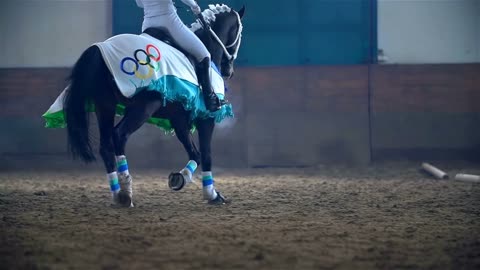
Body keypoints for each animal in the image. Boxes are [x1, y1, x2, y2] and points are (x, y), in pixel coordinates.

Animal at [62, 4, 246, 207]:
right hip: (144, 107)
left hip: (105, 106)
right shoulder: (206, 118)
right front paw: (211, 195)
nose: (229, 71)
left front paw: (180, 178)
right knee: (119, 135)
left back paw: (117, 195)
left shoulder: (178, 119)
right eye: (240, 32)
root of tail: (98, 49)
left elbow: (195, 153)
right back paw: (126, 192)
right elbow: (206, 155)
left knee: (105, 146)